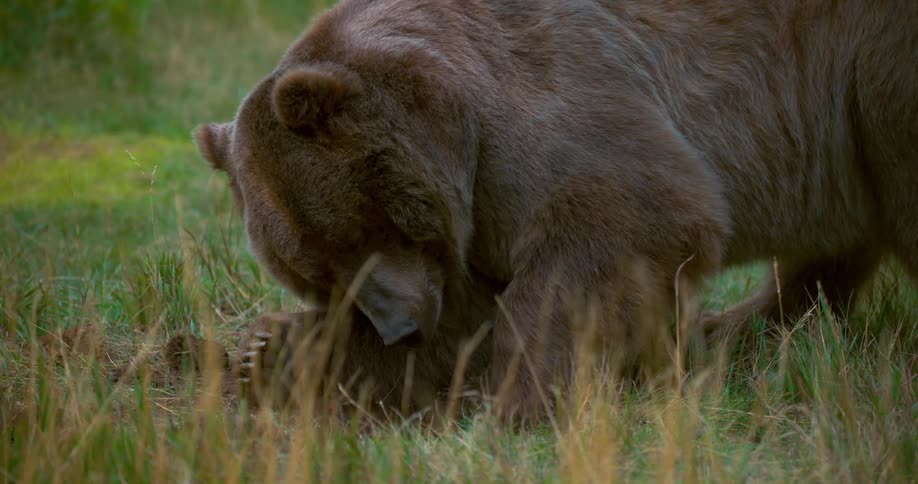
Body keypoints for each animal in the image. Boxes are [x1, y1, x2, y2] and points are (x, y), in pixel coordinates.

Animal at [194, 0, 918, 421]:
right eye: (317, 275)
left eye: (361, 234)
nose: (399, 327)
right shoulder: (470, 232)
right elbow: (462, 325)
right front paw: (269, 354)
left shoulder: (546, 113)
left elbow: (610, 235)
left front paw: (518, 401)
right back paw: (738, 326)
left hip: (868, 68)